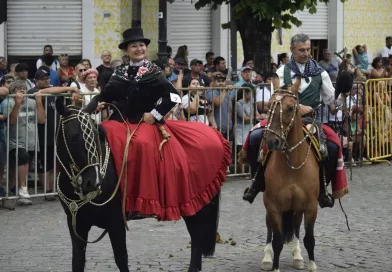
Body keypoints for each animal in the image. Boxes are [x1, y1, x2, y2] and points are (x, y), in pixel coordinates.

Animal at [54, 98, 220, 272]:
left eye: (96, 134)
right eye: (73, 137)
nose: (93, 182)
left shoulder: (116, 222)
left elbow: (121, 259)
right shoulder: (76, 224)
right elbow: (77, 261)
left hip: (196, 202)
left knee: (197, 235)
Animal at [260, 77, 318, 272]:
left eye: (291, 108)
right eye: (269, 105)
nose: (272, 141)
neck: (292, 167)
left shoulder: (310, 206)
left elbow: (309, 238)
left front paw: (312, 265)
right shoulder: (274, 205)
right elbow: (277, 240)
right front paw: (274, 266)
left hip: (297, 206)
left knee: (296, 224)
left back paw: (298, 256)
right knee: (269, 227)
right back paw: (267, 258)